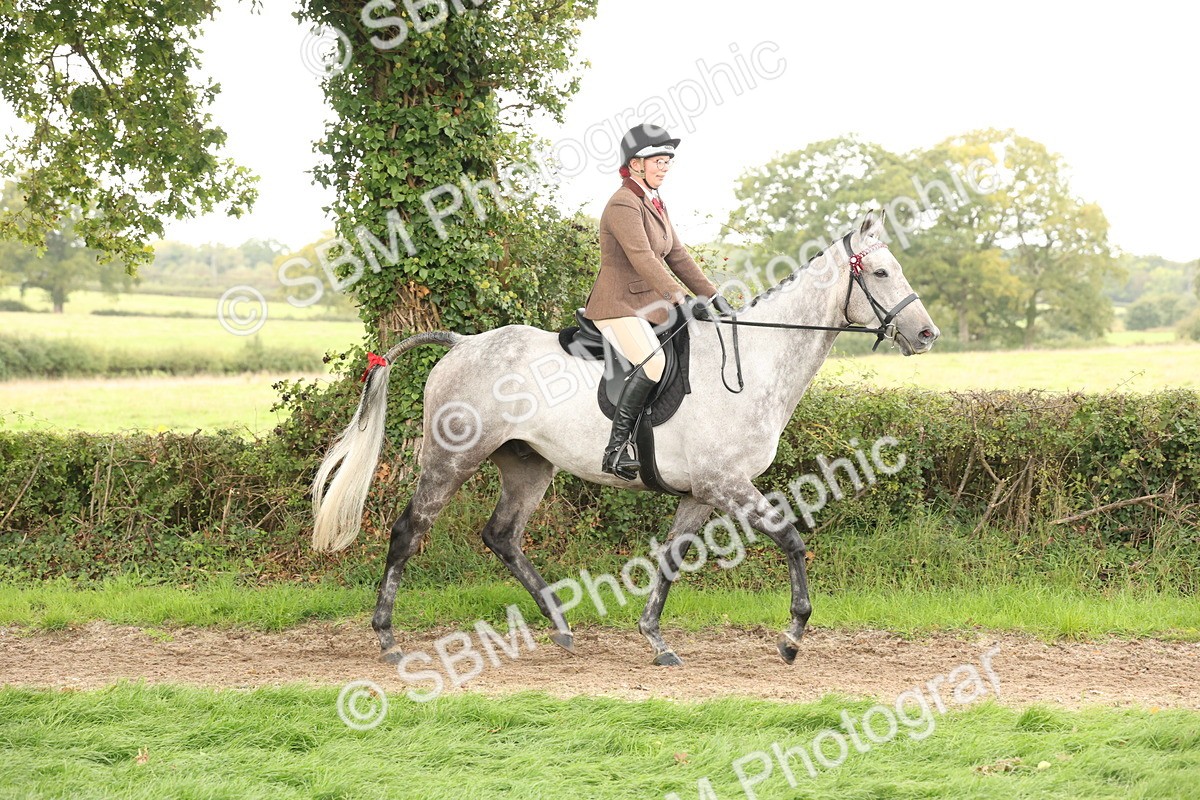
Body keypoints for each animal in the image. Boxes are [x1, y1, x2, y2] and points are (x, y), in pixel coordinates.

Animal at [311, 211, 940, 667]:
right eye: (880, 273)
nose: (927, 334)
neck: (757, 362)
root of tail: (464, 344)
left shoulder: (700, 492)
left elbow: (672, 558)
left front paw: (655, 639)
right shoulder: (727, 483)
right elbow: (791, 539)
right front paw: (791, 638)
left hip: (528, 464)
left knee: (502, 536)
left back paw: (561, 626)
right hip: (452, 459)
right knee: (408, 532)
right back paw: (388, 640)